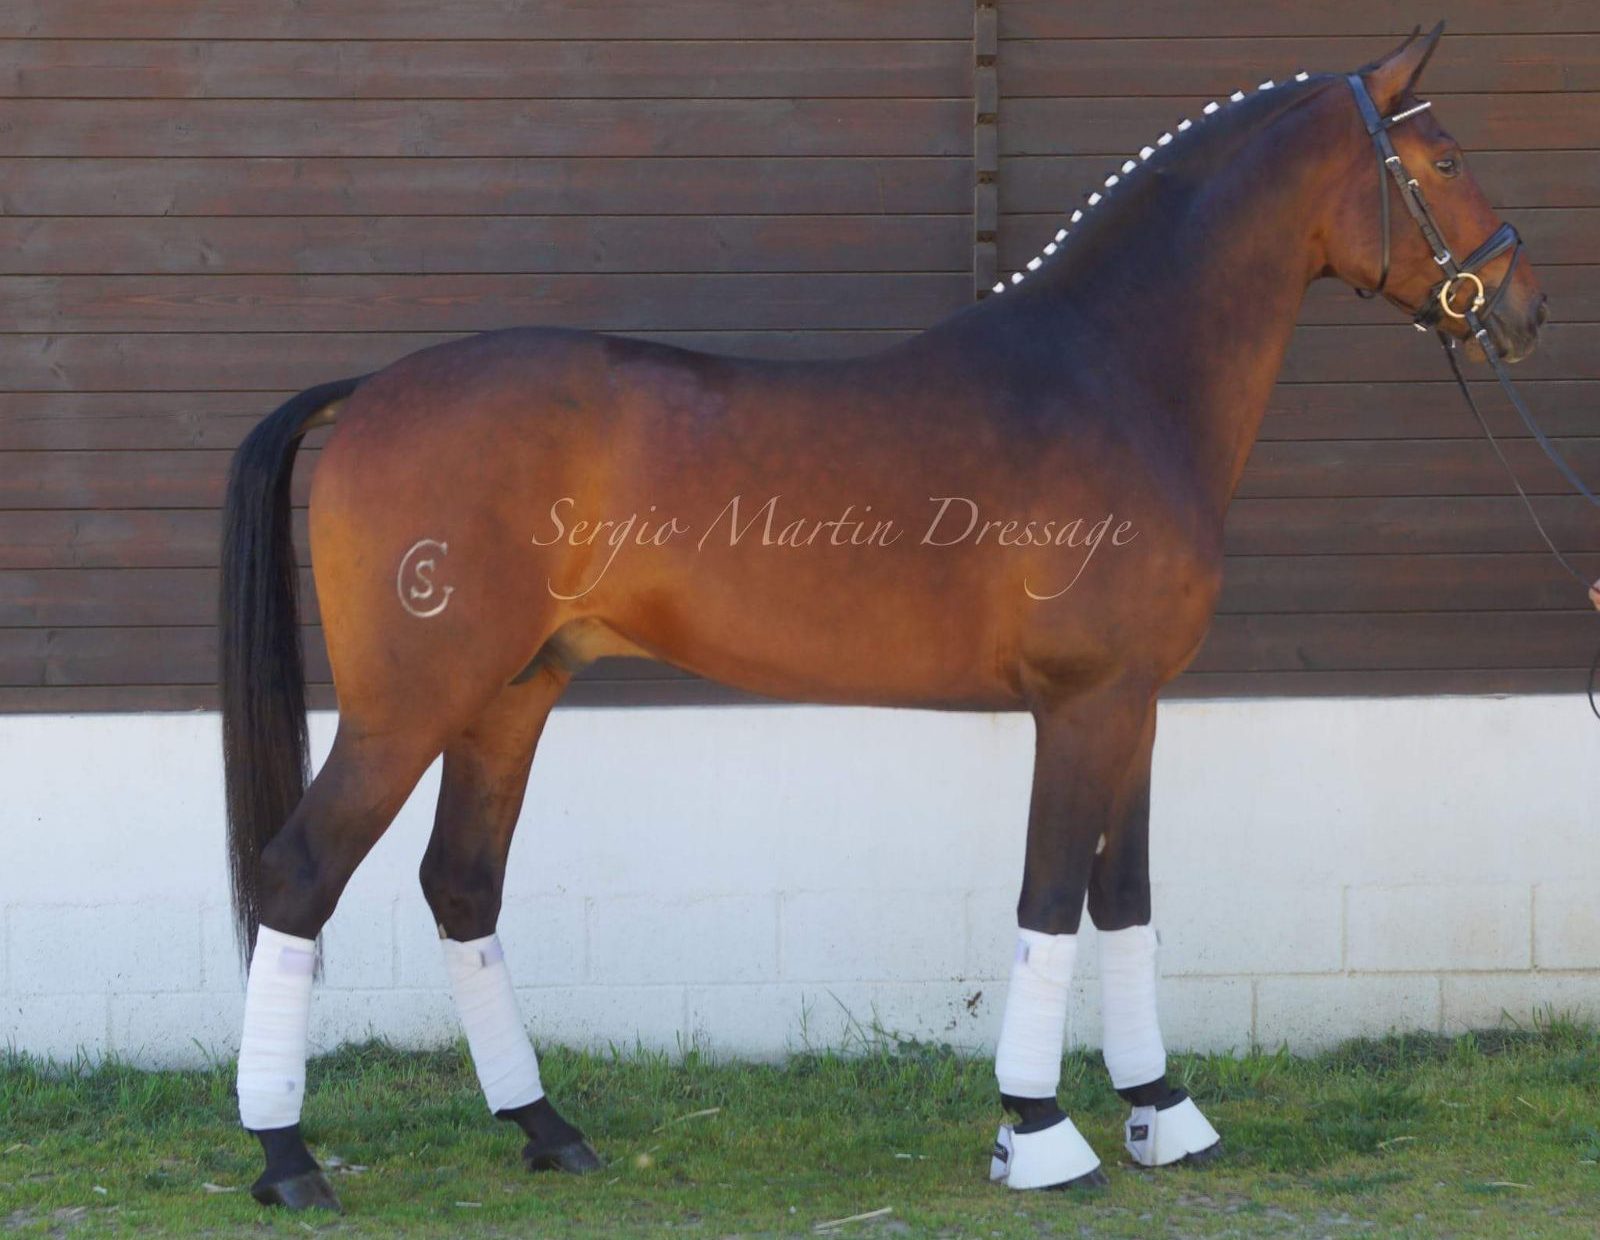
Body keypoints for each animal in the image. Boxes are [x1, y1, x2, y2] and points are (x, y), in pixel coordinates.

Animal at [217, 25, 1547, 1210]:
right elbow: (1050, 899)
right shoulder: (1082, 705)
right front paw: (1038, 1131)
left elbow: (1125, 898)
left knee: (461, 885)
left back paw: (548, 1130)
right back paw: (288, 1160)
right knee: (297, 875)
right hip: (410, 705)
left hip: (510, 694)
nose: (1521, 303)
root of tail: (371, 389)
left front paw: (1162, 1113)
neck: (1114, 375)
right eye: (1440, 159)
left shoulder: (1138, 706)